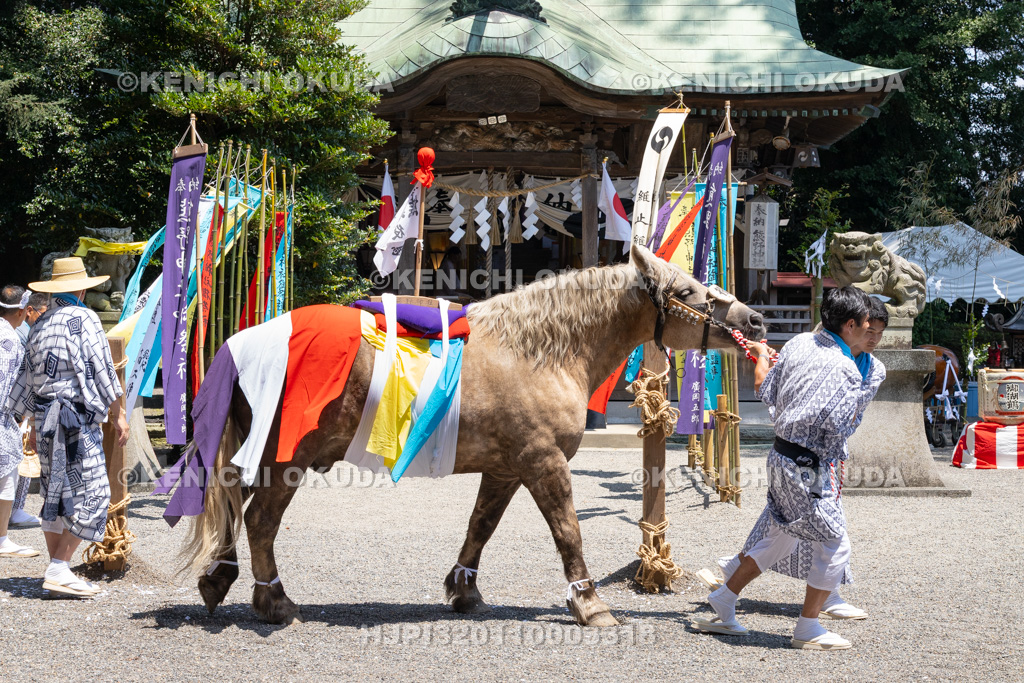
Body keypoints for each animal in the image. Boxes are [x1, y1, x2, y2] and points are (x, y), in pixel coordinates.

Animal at [180, 245, 766, 627]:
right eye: (687, 291)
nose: (755, 320)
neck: (541, 352)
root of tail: (243, 340)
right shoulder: (543, 462)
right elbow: (568, 533)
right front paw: (588, 602)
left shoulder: (507, 467)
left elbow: (480, 526)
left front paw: (464, 589)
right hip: (287, 458)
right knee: (259, 520)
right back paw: (273, 602)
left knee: (235, 511)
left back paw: (219, 578)